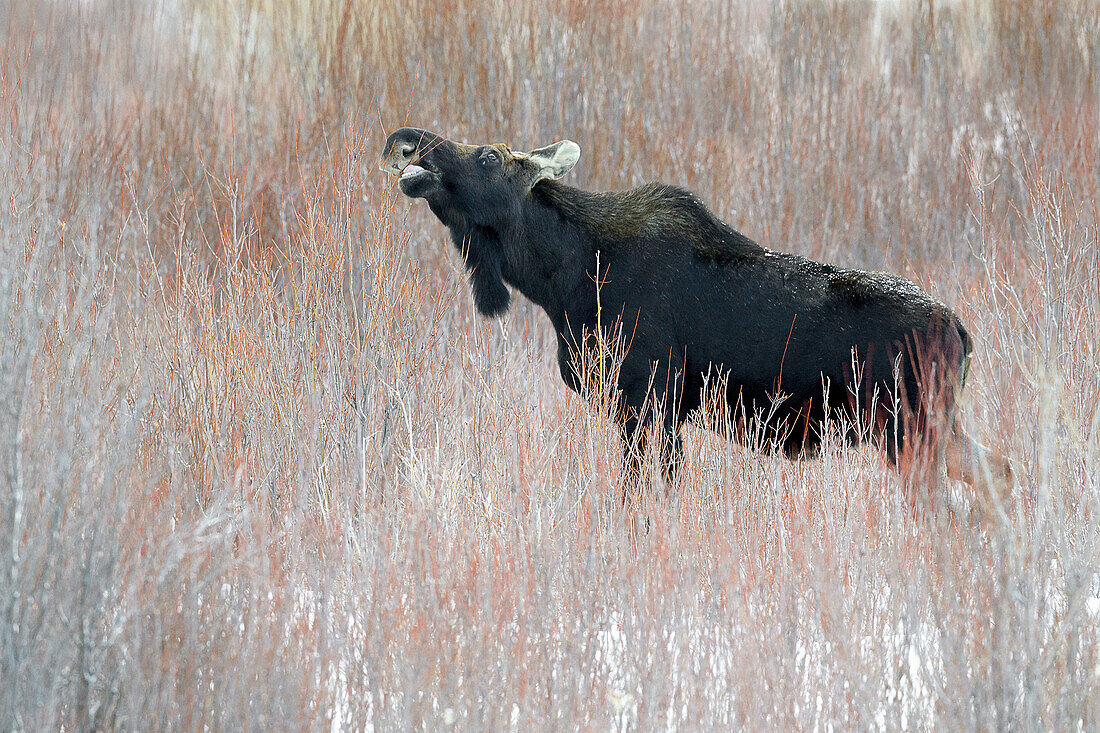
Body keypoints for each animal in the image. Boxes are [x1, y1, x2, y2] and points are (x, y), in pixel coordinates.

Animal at [382, 127, 1007, 501]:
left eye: (487, 155)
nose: (417, 147)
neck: (561, 278)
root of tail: (962, 331)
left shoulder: (647, 398)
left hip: (908, 430)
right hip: (935, 428)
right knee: (997, 474)